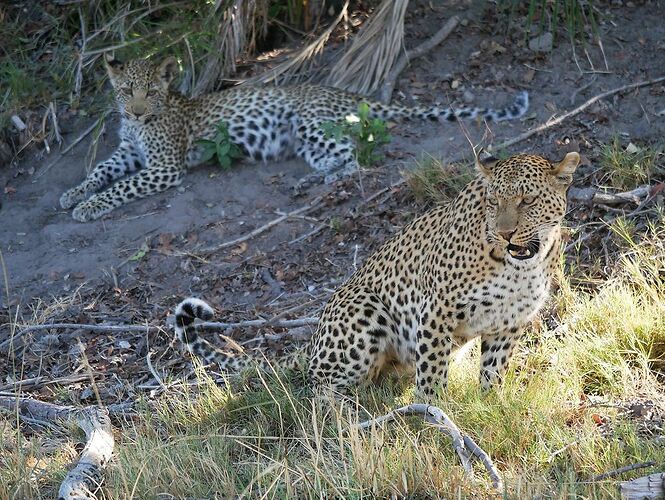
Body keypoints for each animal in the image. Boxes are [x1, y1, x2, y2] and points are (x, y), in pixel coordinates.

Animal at [59, 53, 528, 223]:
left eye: (150, 92)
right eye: (126, 92)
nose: (137, 110)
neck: (139, 124)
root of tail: (344, 92)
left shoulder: (164, 167)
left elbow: (120, 187)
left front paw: (88, 207)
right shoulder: (128, 153)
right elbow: (101, 170)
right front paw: (71, 195)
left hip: (310, 123)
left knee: (357, 157)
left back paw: (326, 181)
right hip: (305, 140)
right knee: (336, 158)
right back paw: (308, 182)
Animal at [174, 150, 580, 400]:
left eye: (527, 201)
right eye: (493, 202)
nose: (506, 233)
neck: (519, 268)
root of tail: (312, 341)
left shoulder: (508, 322)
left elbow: (494, 371)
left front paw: (490, 404)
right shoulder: (435, 311)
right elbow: (433, 373)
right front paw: (432, 414)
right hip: (363, 310)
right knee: (319, 390)